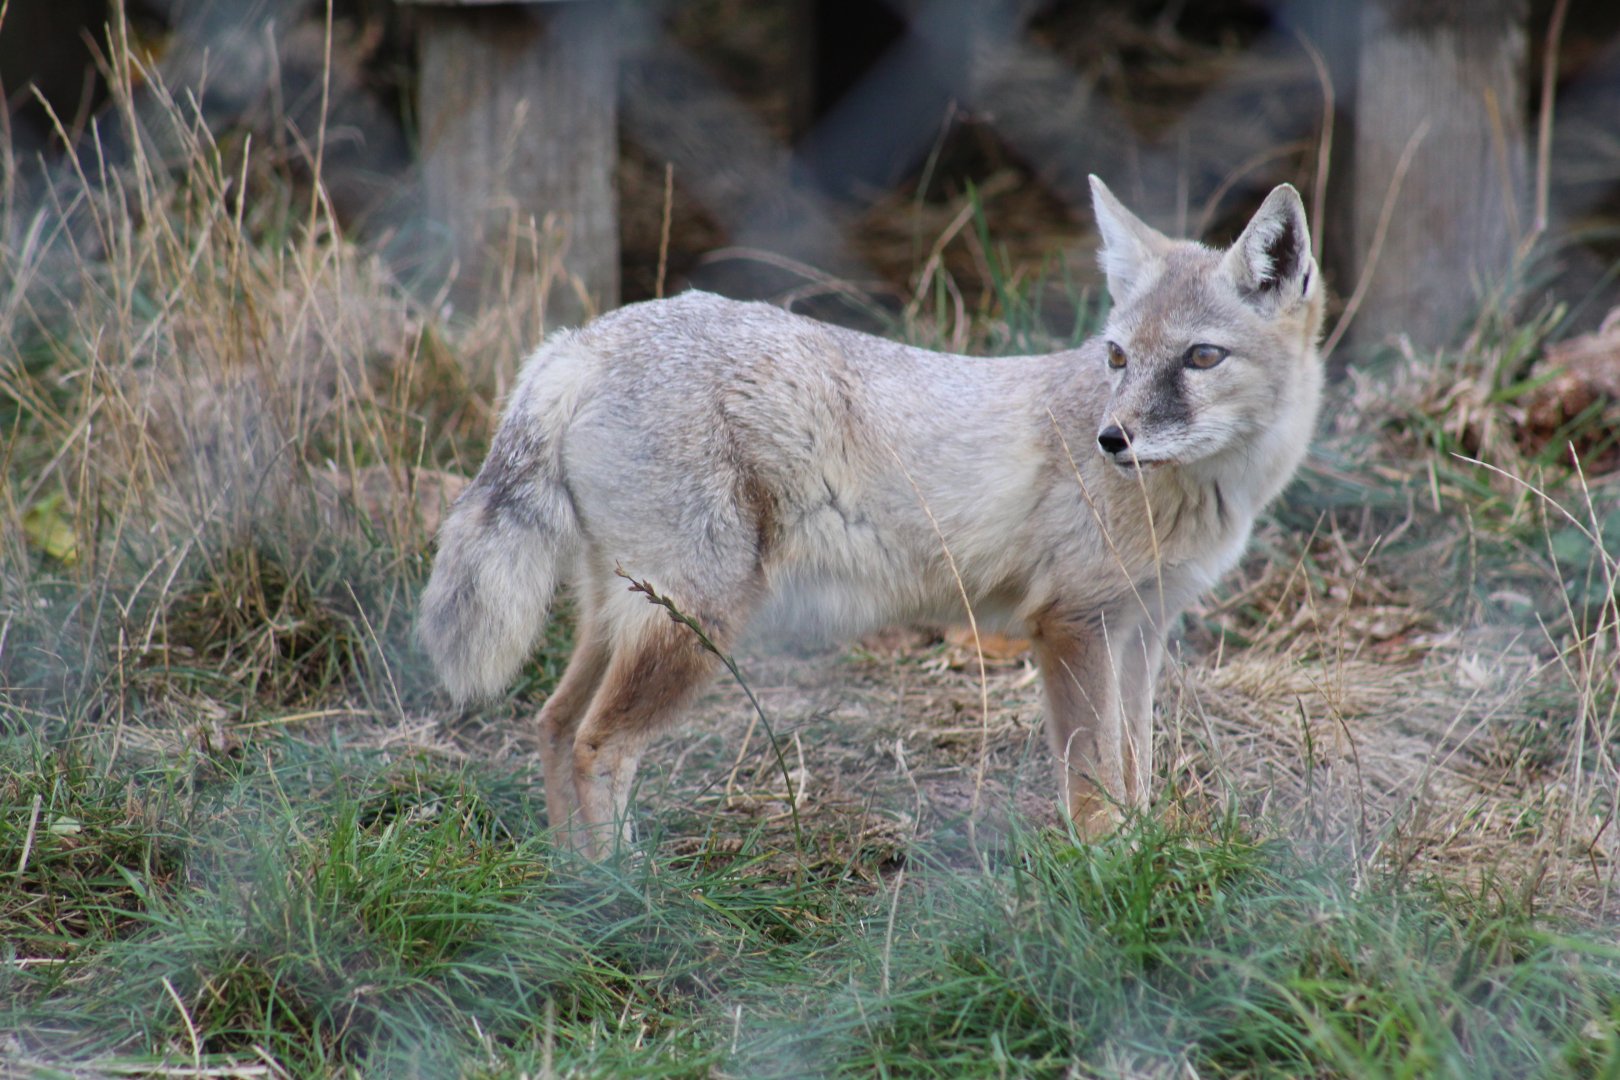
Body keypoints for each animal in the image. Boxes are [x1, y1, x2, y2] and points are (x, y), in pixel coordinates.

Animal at [418, 177, 1325, 856]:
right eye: (1117, 357)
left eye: (1200, 357)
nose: (1111, 439)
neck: (1202, 494)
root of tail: (584, 339)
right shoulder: (1073, 625)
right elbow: (1096, 786)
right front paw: (1111, 876)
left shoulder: (1140, 628)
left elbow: (1134, 767)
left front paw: (1145, 852)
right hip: (693, 622)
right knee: (596, 745)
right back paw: (619, 900)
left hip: (622, 617)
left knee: (550, 724)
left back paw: (569, 888)